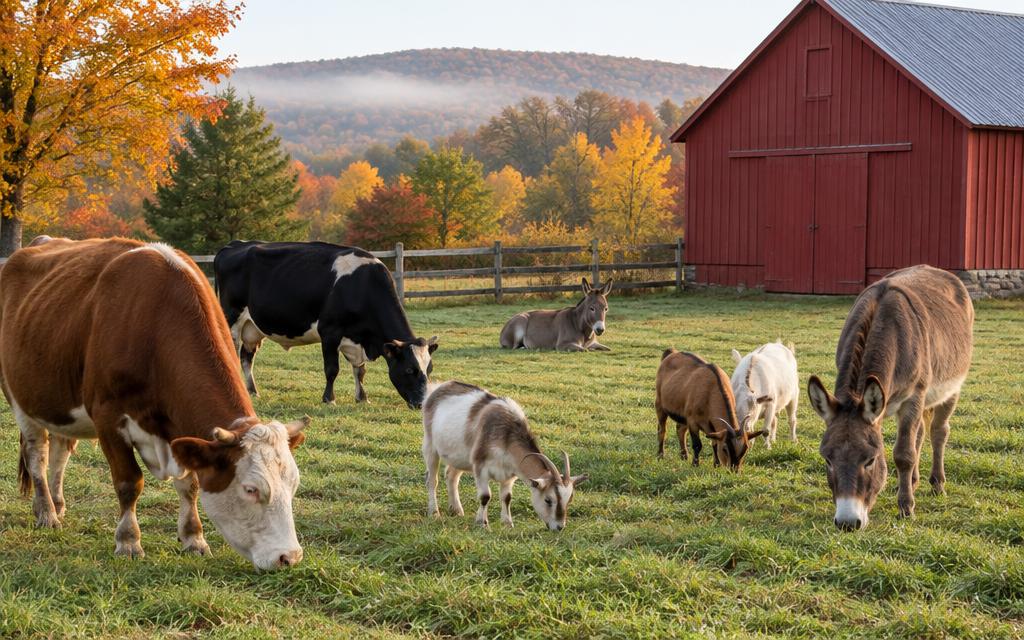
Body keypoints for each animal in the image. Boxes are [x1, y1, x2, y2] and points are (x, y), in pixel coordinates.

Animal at [0, 238, 307, 569]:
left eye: (293, 484)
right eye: (251, 489)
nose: (289, 556)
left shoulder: (180, 430)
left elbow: (190, 485)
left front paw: (194, 538)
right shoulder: (108, 418)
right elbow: (129, 482)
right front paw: (128, 541)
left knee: (60, 453)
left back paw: (57, 504)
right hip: (18, 399)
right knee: (38, 456)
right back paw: (46, 512)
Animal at [213, 241, 438, 407]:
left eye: (429, 369)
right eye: (409, 370)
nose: (422, 403)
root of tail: (235, 245)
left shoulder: (355, 339)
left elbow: (360, 371)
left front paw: (362, 398)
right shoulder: (330, 332)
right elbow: (332, 369)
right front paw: (329, 399)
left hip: (252, 328)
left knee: (247, 357)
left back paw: (252, 391)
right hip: (231, 318)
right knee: (232, 352)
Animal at [808, 265, 973, 531]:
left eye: (870, 460)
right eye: (827, 459)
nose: (847, 523)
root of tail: (935, 269)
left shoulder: (913, 396)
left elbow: (903, 454)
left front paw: (906, 508)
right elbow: (907, 446)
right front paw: (904, 492)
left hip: (950, 387)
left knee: (938, 431)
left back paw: (937, 484)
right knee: (920, 433)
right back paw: (912, 481)